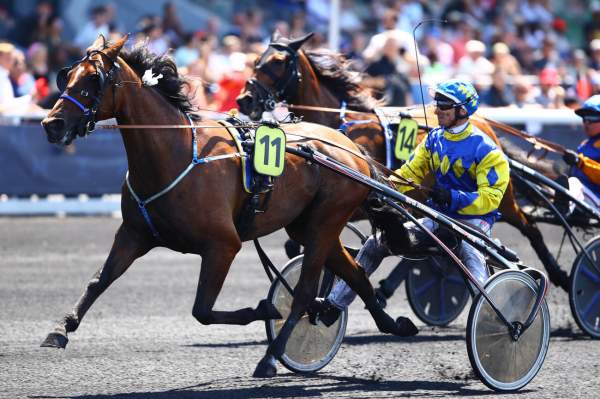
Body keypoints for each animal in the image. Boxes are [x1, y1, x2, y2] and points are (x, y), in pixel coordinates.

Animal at [41, 36, 418, 380]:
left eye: (94, 79)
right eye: (67, 75)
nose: (51, 124)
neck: (175, 151)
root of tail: (349, 147)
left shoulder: (223, 245)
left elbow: (202, 310)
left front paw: (265, 308)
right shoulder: (134, 233)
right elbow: (98, 281)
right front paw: (60, 329)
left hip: (327, 220)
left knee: (306, 291)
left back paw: (271, 356)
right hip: (310, 225)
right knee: (354, 272)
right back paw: (391, 323)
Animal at [237, 32, 568, 290]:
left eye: (278, 62)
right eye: (256, 60)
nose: (244, 100)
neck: (337, 128)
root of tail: (483, 122)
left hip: (502, 198)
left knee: (529, 226)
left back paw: (560, 275)